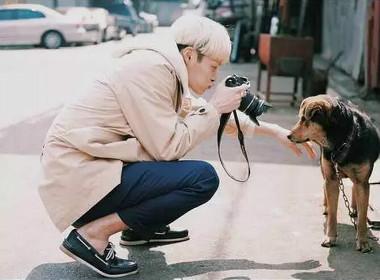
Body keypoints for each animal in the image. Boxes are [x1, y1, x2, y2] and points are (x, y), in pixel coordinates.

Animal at [288, 95, 380, 253]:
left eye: (305, 119)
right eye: (300, 118)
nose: (288, 136)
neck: (342, 141)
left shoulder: (363, 181)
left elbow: (362, 218)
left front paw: (363, 241)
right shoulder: (331, 178)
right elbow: (332, 214)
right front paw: (330, 237)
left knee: (354, 188)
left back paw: (354, 208)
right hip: (325, 169)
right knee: (325, 187)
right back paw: (326, 206)